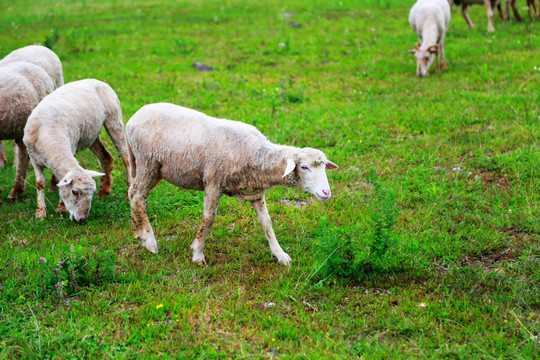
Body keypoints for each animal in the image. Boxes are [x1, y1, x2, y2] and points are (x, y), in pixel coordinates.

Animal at [23, 79, 133, 221]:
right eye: (75, 192)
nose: (82, 219)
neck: (49, 133)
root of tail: (97, 80)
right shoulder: (34, 159)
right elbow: (40, 183)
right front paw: (40, 213)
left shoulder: (72, 147)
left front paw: (61, 208)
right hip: (91, 134)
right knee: (106, 156)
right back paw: (103, 191)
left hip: (114, 120)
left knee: (126, 159)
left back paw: (127, 192)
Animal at [126, 102, 338, 266]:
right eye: (304, 167)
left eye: (324, 167)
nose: (326, 192)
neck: (255, 152)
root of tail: (133, 118)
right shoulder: (213, 182)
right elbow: (208, 219)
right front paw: (197, 254)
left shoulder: (256, 192)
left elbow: (267, 222)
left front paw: (280, 254)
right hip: (147, 162)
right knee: (137, 196)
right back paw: (150, 243)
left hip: (154, 169)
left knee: (133, 194)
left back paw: (139, 233)